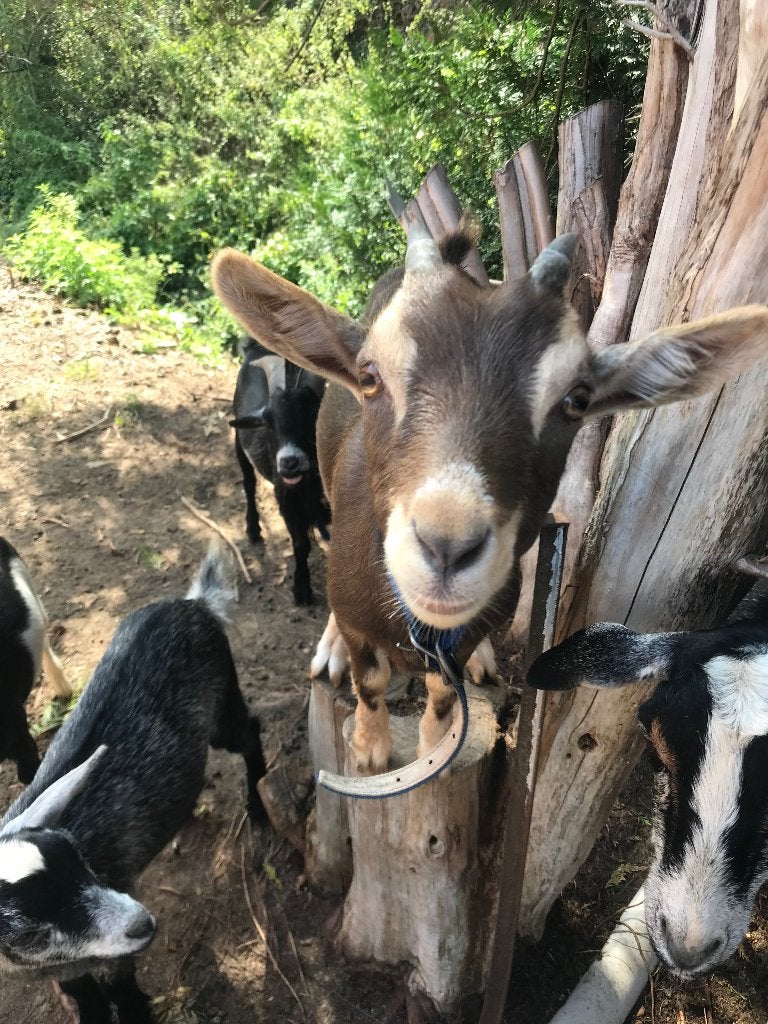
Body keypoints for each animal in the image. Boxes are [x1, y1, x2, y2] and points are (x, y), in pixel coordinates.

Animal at [231, 338, 330, 605]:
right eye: (269, 422)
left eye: (312, 418)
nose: (289, 463)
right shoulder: (287, 500)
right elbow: (300, 544)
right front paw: (302, 590)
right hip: (239, 444)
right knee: (248, 484)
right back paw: (253, 530)